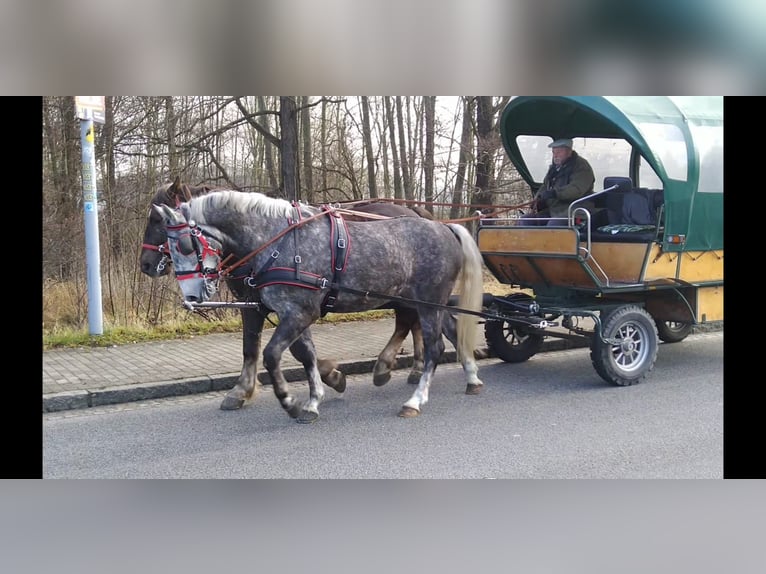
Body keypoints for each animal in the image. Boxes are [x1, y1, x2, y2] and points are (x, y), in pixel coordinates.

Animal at [154, 191, 486, 420]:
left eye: (184, 244)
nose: (192, 297)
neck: (277, 242)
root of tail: (444, 227)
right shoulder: (293, 312)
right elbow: (306, 354)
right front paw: (315, 399)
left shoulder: (299, 312)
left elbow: (272, 354)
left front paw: (290, 402)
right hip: (428, 302)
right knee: (451, 330)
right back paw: (471, 377)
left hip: (429, 302)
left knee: (434, 347)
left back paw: (414, 400)